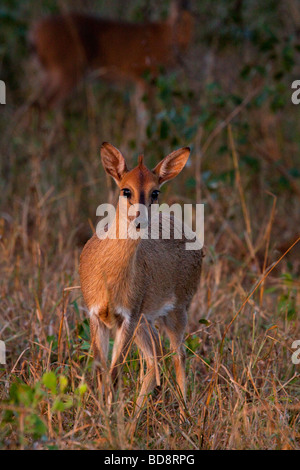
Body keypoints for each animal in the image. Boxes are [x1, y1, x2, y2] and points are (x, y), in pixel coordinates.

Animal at [78, 141, 203, 424]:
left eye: (155, 191)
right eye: (126, 189)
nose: (140, 220)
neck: (109, 277)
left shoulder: (129, 317)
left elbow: (114, 374)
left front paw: (109, 423)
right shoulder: (96, 315)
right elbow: (102, 372)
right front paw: (103, 418)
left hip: (176, 311)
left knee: (178, 356)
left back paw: (184, 417)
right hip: (147, 322)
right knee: (153, 361)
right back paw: (136, 418)